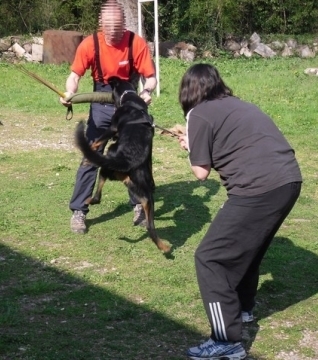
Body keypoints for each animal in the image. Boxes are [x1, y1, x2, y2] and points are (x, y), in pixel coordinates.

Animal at [74, 77, 170, 255]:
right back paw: (164, 247)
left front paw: (89, 152)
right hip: (144, 194)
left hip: (106, 167)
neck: (131, 100)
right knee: (150, 226)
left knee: (97, 196)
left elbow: (96, 141)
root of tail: (126, 161)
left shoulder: (111, 128)